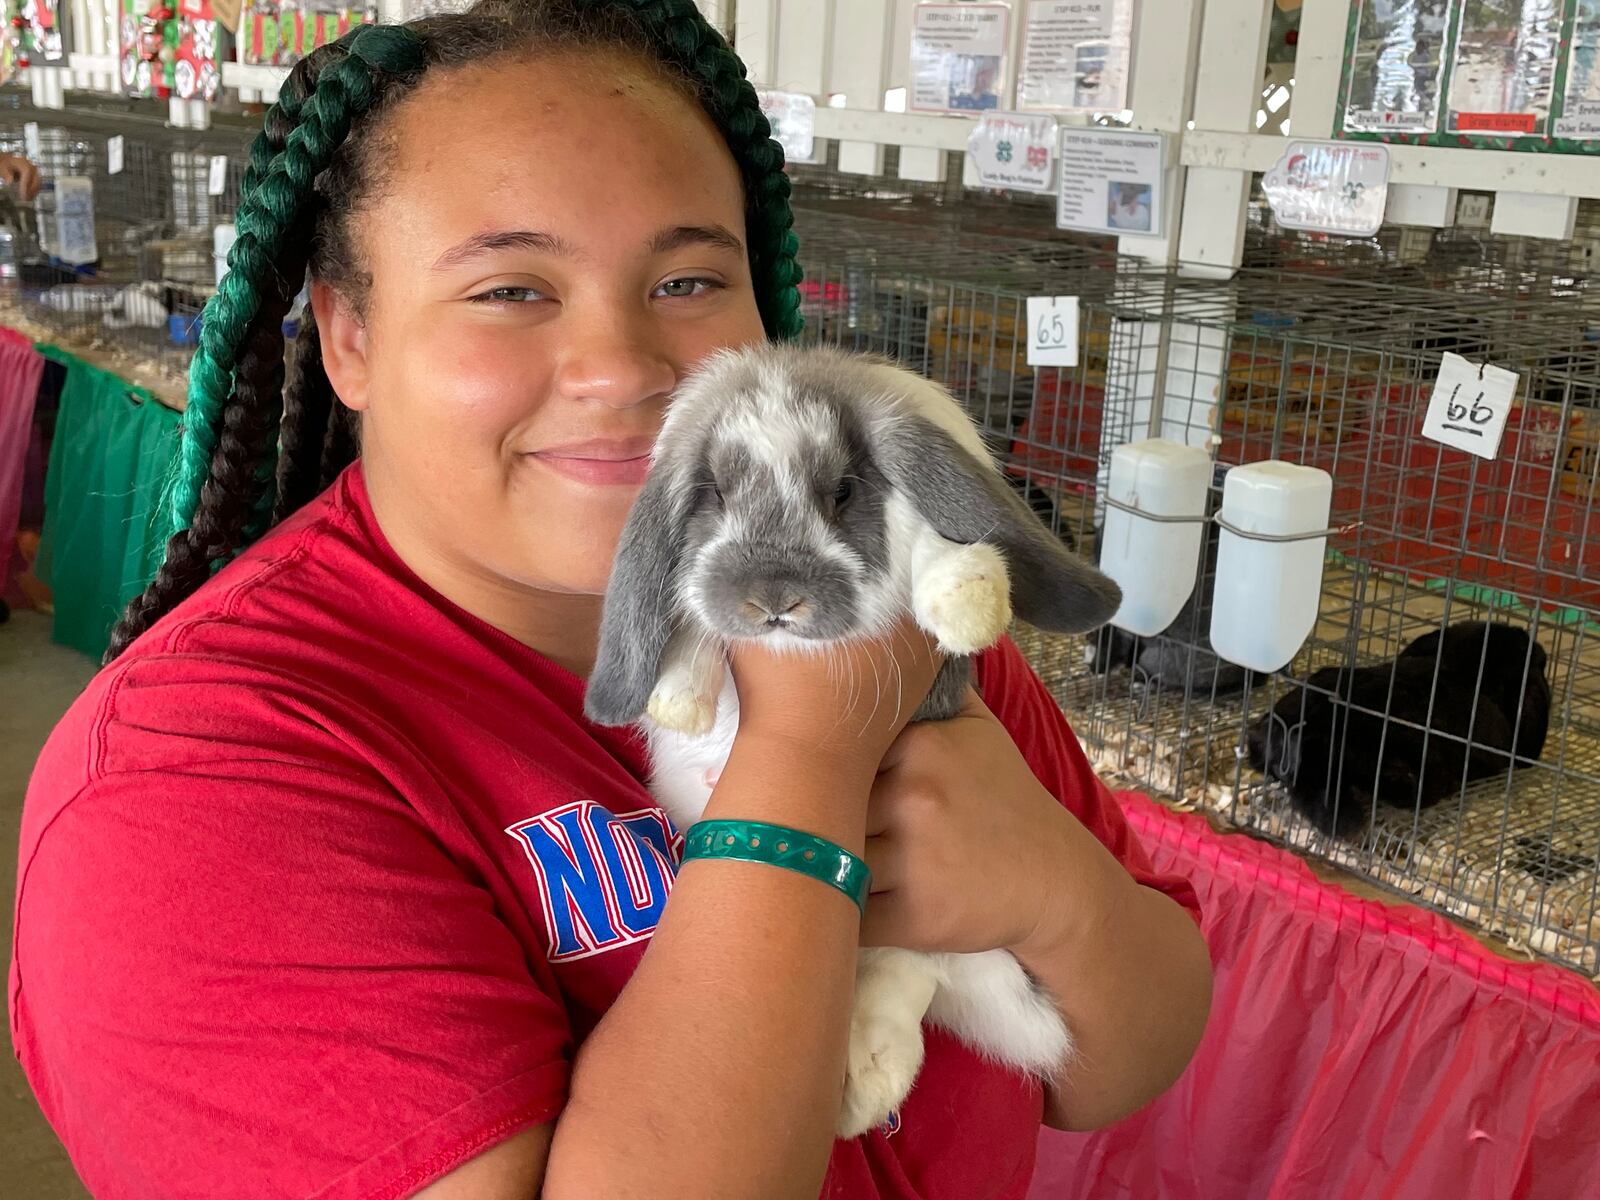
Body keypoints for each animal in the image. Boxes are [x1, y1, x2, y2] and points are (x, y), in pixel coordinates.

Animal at [582, 342, 1120, 1139]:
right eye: (715, 494)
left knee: (911, 967)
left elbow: (928, 545)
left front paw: (967, 605)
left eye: (842, 491)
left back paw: (865, 1081)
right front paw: (678, 701)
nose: (773, 601)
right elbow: (688, 602)